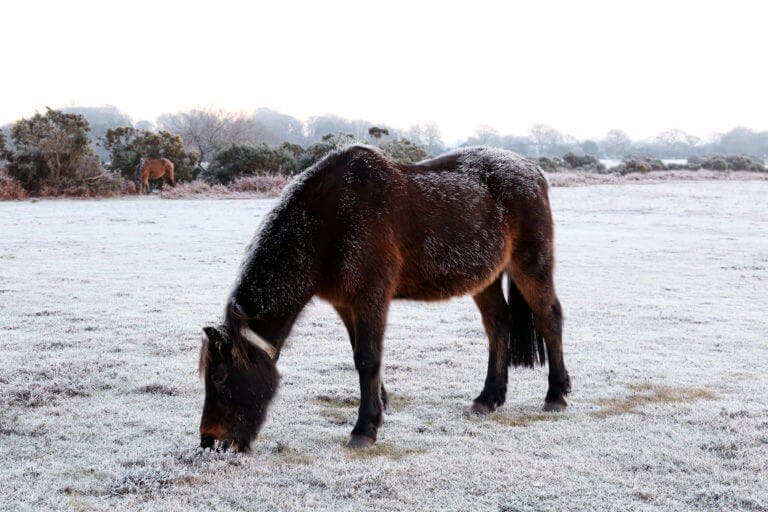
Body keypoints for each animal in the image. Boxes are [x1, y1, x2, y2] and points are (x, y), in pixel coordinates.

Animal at [198, 144, 570, 451]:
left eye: (219, 377)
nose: (211, 442)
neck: (332, 220)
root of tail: (534, 171)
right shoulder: (346, 303)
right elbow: (360, 353)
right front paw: (380, 404)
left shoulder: (371, 297)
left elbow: (367, 358)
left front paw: (364, 429)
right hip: (486, 279)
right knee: (498, 324)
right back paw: (488, 398)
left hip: (530, 264)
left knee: (549, 318)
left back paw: (556, 395)